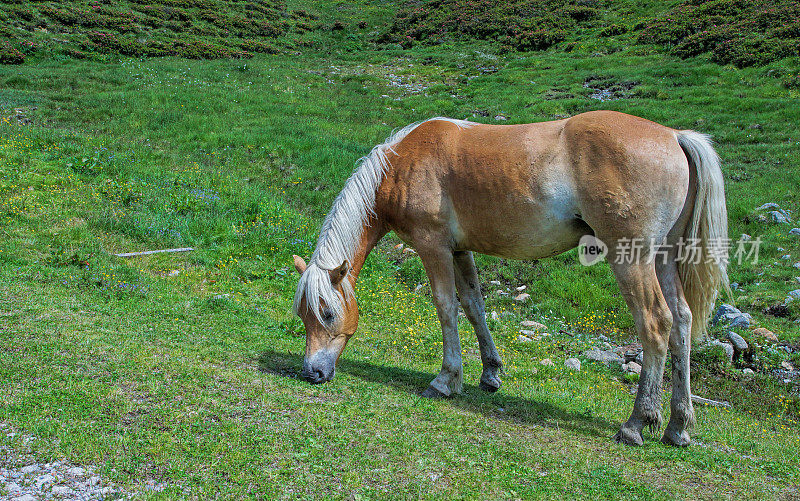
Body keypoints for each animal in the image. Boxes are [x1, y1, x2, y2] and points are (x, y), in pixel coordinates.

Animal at [294, 112, 732, 446]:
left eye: (327, 313)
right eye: (303, 316)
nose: (312, 372)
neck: (403, 164)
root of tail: (674, 137)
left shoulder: (434, 248)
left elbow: (445, 307)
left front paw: (446, 379)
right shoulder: (459, 250)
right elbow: (474, 306)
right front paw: (490, 373)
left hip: (633, 259)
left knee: (656, 324)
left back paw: (637, 423)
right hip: (664, 258)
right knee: (682, 323)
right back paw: (677, 426)